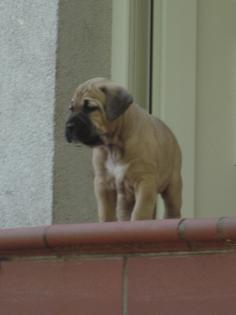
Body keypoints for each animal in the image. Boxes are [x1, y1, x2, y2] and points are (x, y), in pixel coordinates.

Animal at [65, 78, 183, 222]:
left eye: (91, 108)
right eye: (71, 109)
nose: (69, 126)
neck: (114, 146)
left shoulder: (145, 181)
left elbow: (140, 212)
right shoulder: (103, 183)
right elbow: (106, 212)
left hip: (173, 185)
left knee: (172, 209)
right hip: (125, 198)